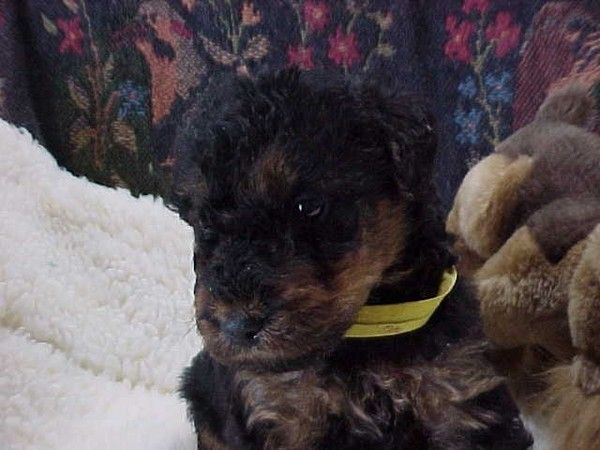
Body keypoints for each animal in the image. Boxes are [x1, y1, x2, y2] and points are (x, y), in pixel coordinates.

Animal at [172, 70, 532, 449]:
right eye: (202, 220)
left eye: (308, 205)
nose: (236, 326)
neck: (365, 332)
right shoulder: (280, 408)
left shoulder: (461, 391)